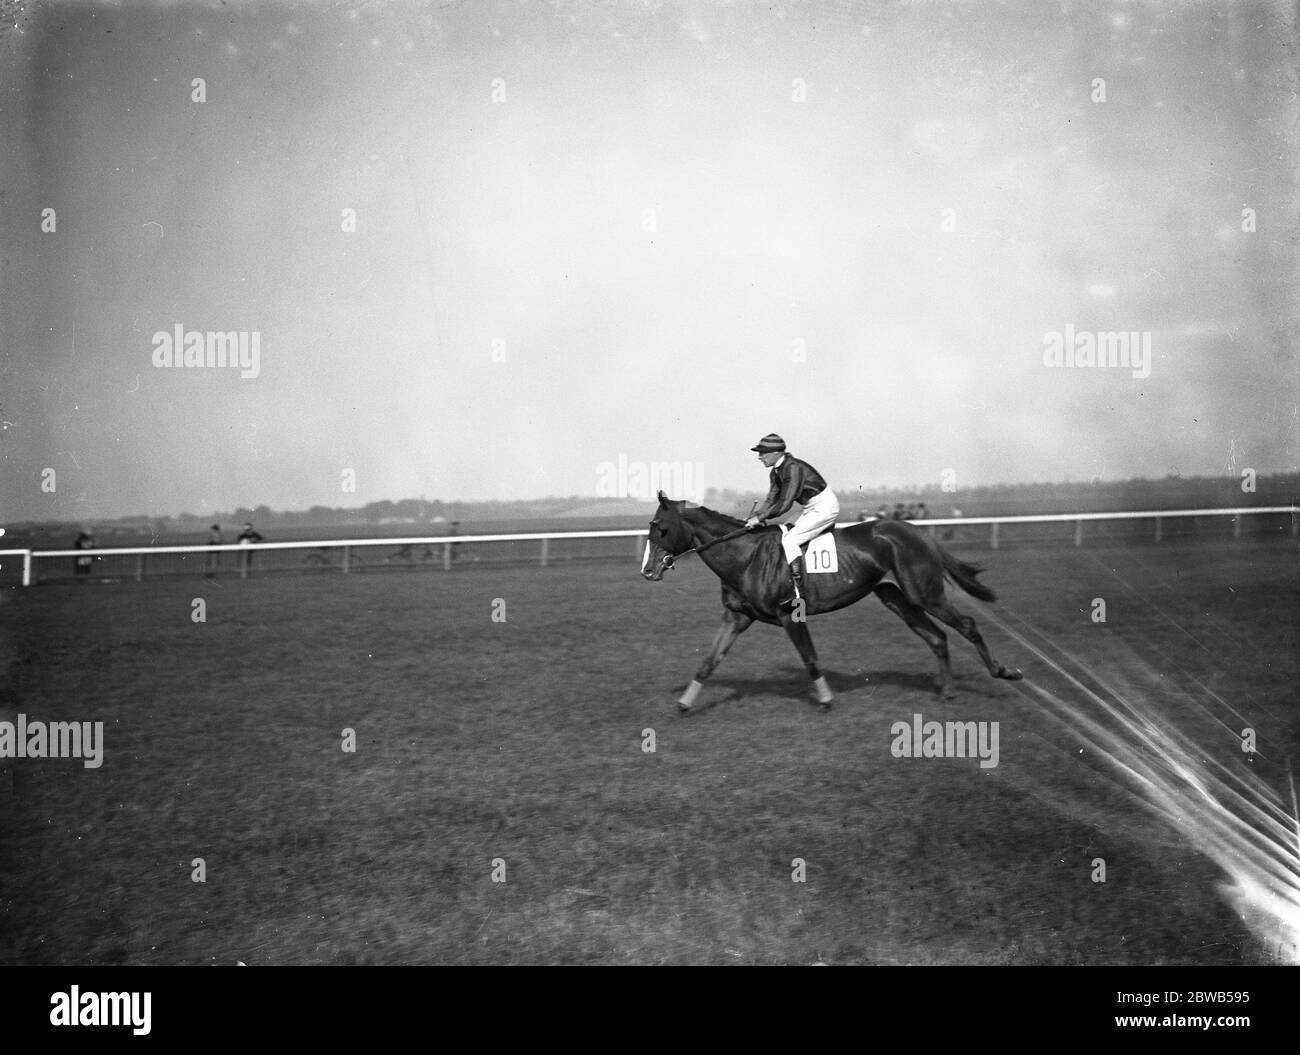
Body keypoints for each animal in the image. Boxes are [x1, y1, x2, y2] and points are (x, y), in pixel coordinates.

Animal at [644, 493, 1019, 706]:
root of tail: (917, 531)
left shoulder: (788, 614)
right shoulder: (737, 616)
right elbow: (709, 661)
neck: (746, 556)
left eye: (660, 526)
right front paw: (685, 702)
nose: (648, 570)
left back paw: (1003, 670)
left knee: (967, 625)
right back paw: (946, 688)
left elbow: (809, 657)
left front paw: (825, 698)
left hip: (924, 592)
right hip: (894, 596)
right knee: (937, 637)